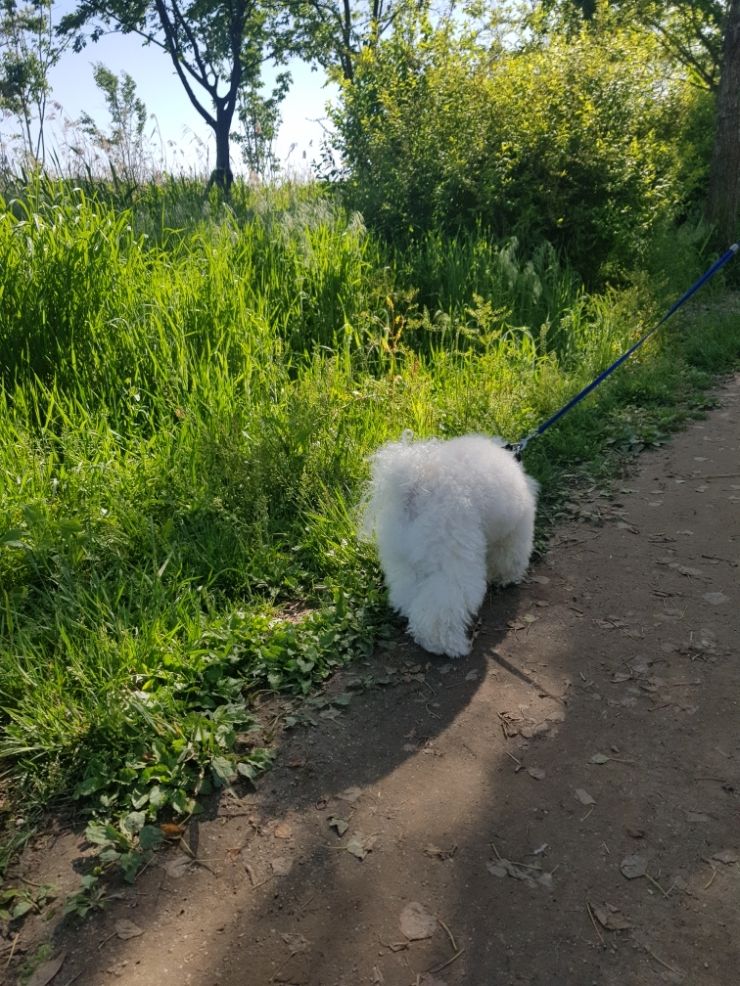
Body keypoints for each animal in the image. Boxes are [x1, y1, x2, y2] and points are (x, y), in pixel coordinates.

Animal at [360, 432, 536, 656]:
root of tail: (414, 488)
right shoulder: (515, 531)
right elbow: (510, 557)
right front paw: (506, 578)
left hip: (403, 558)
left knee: (410, 594)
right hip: (451, 559)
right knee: (441, 609)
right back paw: (446, 644)